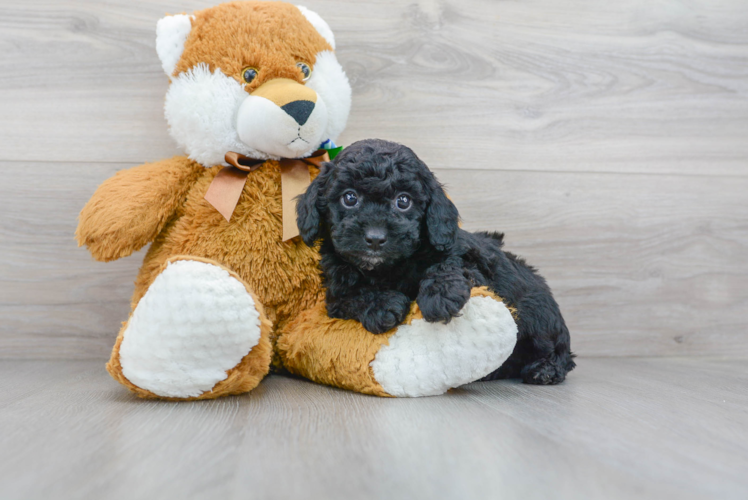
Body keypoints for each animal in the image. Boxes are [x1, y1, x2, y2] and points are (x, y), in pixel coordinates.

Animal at [296, 139, 576, 384]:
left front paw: (440, 296)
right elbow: (353, 296)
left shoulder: (470, 263)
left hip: (539, 314)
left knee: (559, 351)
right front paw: (382, 305)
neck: (387, 269)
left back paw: (545, 369)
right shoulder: (336, 296)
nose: (375, 238)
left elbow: (448, 265)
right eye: (350, 197)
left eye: (403, 201)